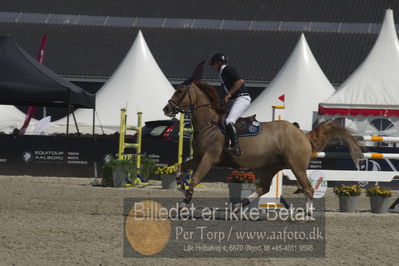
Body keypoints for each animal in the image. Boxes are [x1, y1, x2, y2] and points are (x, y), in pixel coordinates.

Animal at [163, 82, 366, 209]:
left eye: (180, 92)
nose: (167, 109)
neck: (209, 124)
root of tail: (303, 134)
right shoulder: (198, 158)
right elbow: (178, 167)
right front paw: (181, 186)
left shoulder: (208, 159)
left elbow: (195, 179)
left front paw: (184, 204)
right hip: (272, 165)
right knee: (265, 188)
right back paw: (238, 206)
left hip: (296, 166)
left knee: (308, 188)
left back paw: (306, 215)